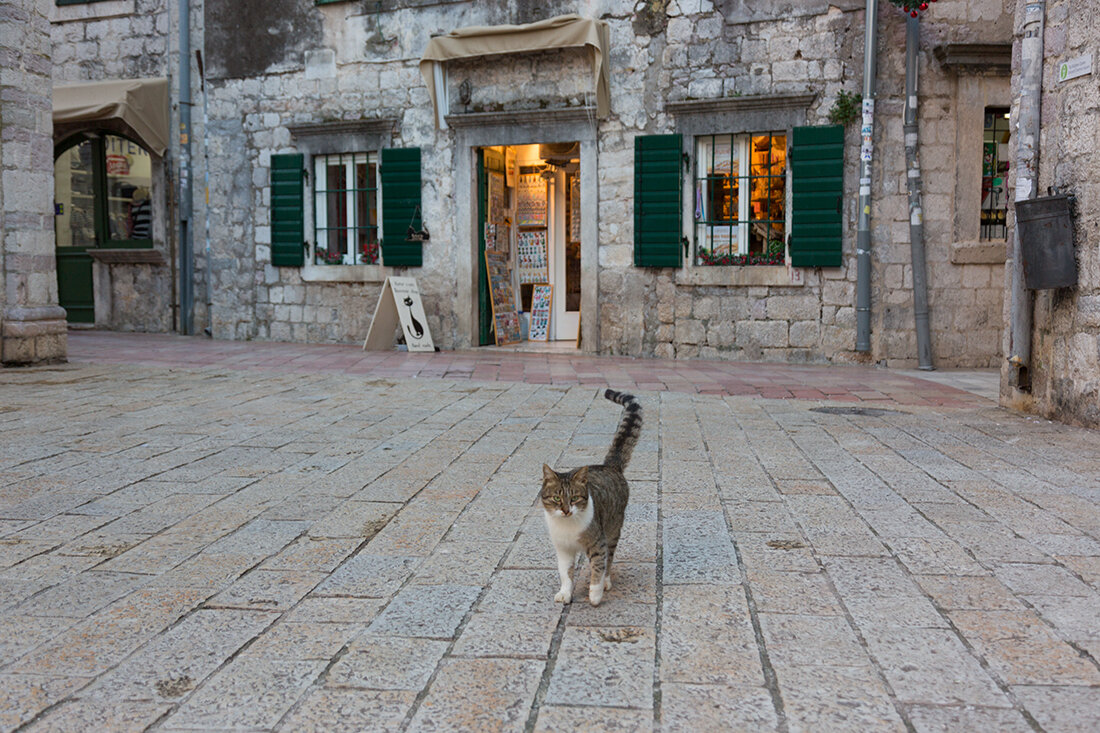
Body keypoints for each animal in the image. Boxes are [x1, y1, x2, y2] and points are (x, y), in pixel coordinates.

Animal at [539, 387, 642, 603]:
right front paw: (565, 592)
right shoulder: (563, 549)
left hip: (612, 529)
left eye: (574, 498)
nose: (566, 510)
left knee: (609, 559)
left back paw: (606, 582)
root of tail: (610, 466)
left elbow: (598, 566)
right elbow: (565, 573)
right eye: (556, 498)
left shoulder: (598, 543)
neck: (567, 525)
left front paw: (595, 594)